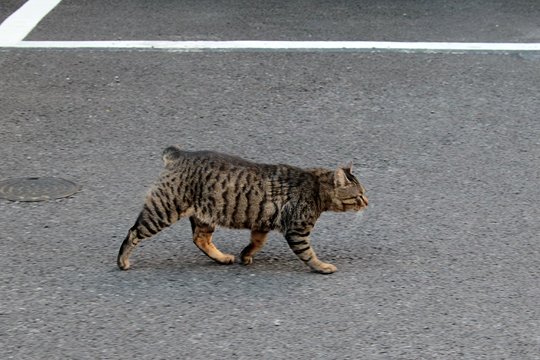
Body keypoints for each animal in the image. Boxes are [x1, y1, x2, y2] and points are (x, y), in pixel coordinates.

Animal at [117, 146, 370, 272]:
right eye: (359, 195)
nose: (368, 202)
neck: (316, 186)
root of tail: (178, 153)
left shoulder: (262, 222)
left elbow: (256, 243)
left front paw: (245, 255)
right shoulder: (297, 230)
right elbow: (308, 253)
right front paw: (322, 266)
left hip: (205, 215)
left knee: (200, 239)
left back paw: (222, 258)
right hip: (164, 209)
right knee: (133, 232)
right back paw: (122, 261)